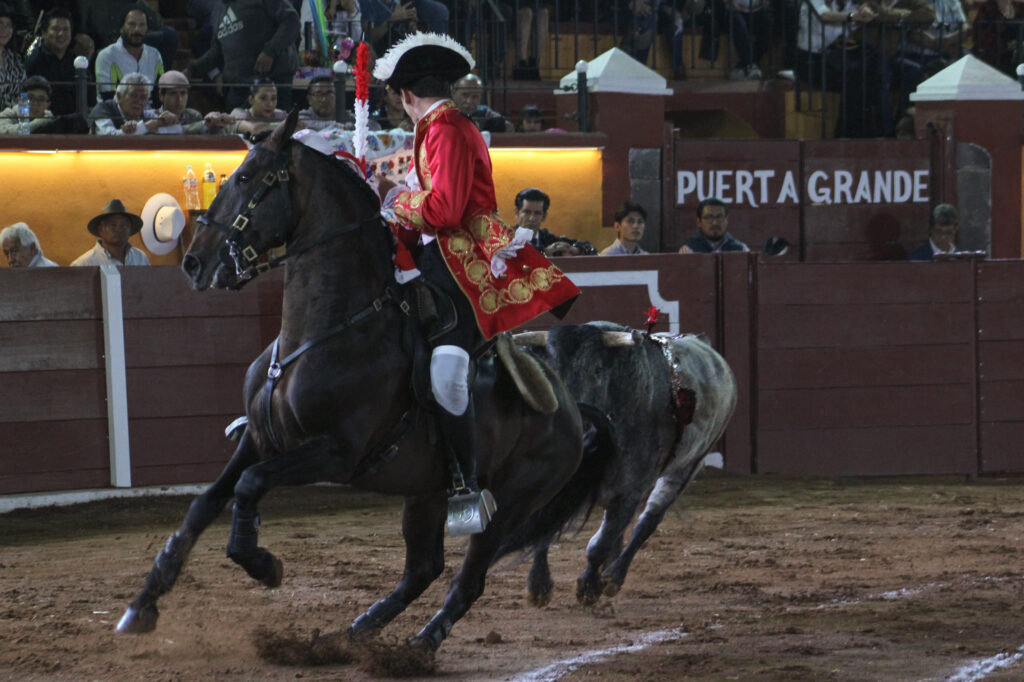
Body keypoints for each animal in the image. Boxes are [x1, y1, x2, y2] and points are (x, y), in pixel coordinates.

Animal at [113, 109, 598, 651]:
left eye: (246, 178)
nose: (195, 262)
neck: (324, 330)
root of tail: (572, 407)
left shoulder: (334, 452)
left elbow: (250, 486)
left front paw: (263, 565)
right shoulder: (259, 438)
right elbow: (205, 504)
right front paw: (143, 605)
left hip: (511, 503)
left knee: (468, 579)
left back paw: (418, 647)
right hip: (426, 494)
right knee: (422, 567)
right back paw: (356, 632)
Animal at [497, 321, 733, 602]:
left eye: (597, 369)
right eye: (550, 369)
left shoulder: (628, 492)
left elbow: (598, 546)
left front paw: (588, 587)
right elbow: (544, 530)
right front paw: (539, 585)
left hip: (687, 467)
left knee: (647, 521)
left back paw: (613, 577)